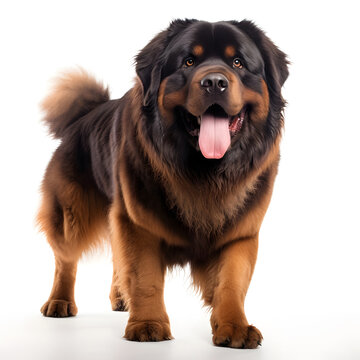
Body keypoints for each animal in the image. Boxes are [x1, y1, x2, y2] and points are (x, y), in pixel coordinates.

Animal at [38, 19, 288, 348]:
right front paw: (148, 324)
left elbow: (231, 282)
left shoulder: (241, 231)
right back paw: (60, 302)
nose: (215, 82)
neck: (205, 172)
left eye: (238, 62)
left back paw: (121, 297)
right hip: (71, 213)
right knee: (65, 259)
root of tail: (84, 116)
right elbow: (145, 276)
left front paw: (235, 327)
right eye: (189, 62)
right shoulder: (138, 222)